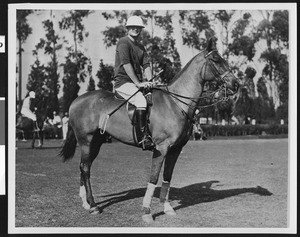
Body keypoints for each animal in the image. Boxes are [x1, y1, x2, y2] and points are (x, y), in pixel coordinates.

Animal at [60, 38, 239, 223]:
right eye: (216, 60)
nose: (236, 84)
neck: (175, 103)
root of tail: (75, 101)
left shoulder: (175, 149)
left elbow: (167, 177)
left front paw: (167, 208)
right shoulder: (161, 148)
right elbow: (154, 177)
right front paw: (146, 211)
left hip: (96, 142)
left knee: (84, 166)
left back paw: (86, 203)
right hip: (86, 140)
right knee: (85, 168)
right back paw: (94, 205)